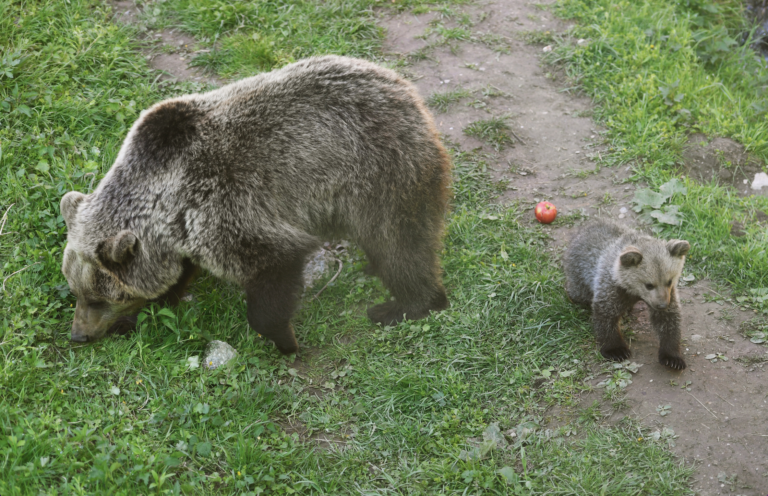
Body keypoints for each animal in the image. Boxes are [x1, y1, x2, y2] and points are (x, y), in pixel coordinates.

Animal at [63, 57, 452, 352]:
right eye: (77, 291)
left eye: (100, 298)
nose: (79, 334)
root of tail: (403, 88)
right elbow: (177, 274)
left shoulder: (221, 204)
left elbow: (274, 263)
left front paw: (286, 340)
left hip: (380, 172)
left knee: (399, 244)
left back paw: (402, 305)